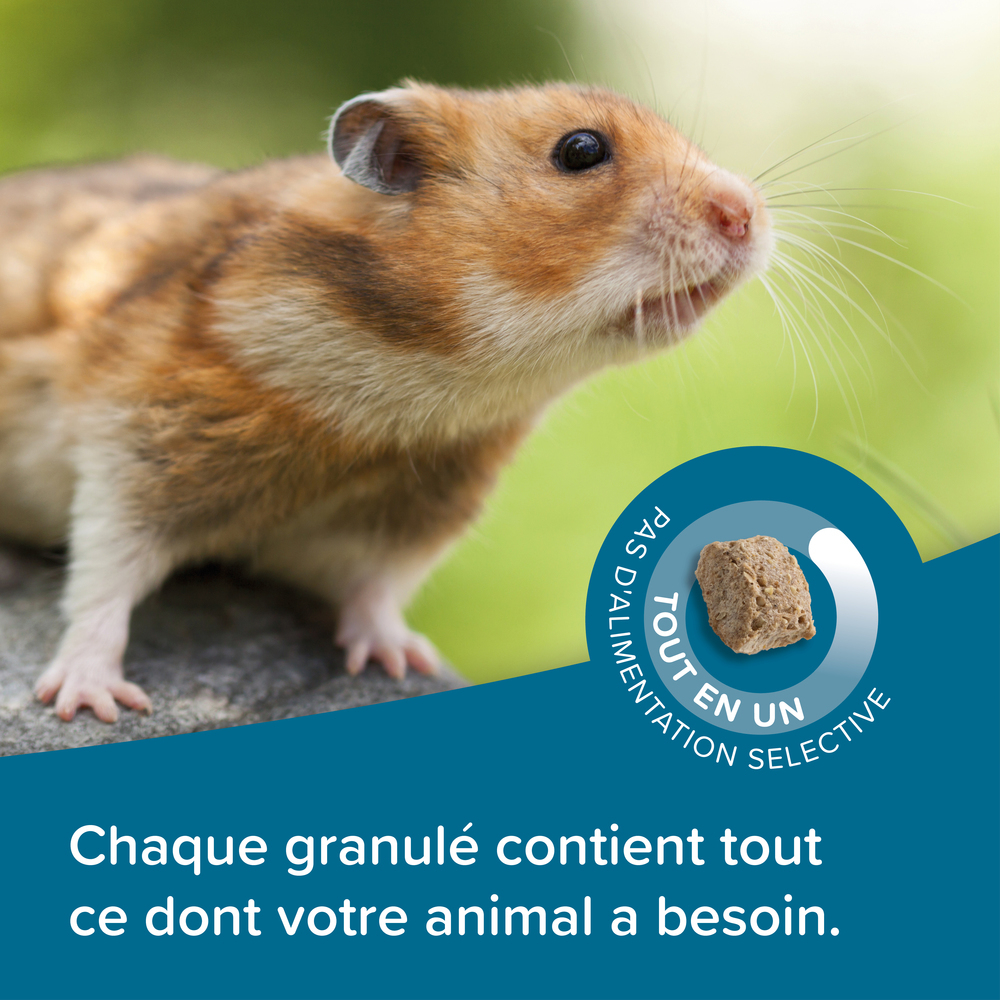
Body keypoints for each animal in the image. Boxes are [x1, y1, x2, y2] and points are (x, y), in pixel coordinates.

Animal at [0, 82, 772, 722]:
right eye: (581, 150)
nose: (747, 215)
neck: (428, 388)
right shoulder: (139, 442)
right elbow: (104, 573)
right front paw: (90, 703)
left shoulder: (419, 506)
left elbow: (377, 589)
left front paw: (402, 662)